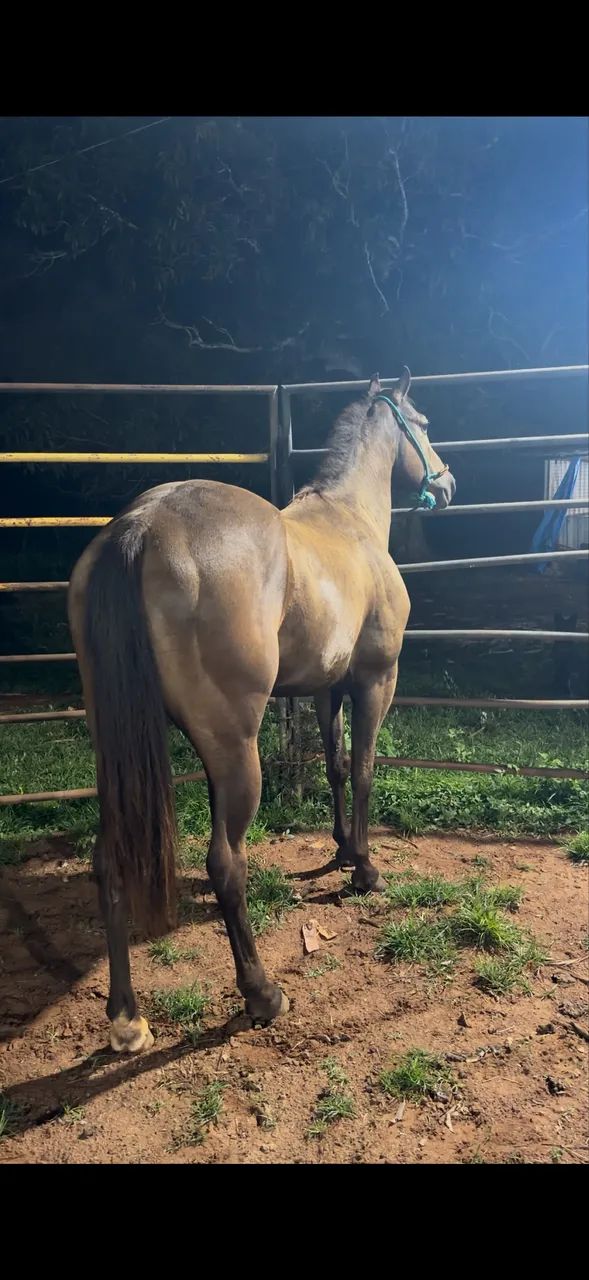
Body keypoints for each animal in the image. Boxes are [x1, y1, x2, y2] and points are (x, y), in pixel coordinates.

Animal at [68, 367, 455, 1053]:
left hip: (120, 752)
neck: (350, 521)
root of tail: (139, 525)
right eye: (425, 425)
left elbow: (333, 767)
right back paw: (261, 994)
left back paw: (126, 1019)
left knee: (108, 862)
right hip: (233, 749)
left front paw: (342, 849)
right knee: (226, 864)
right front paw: (365, 870)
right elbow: (363, 770)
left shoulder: (328, 687)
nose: (446, 480)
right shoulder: (374, 681)